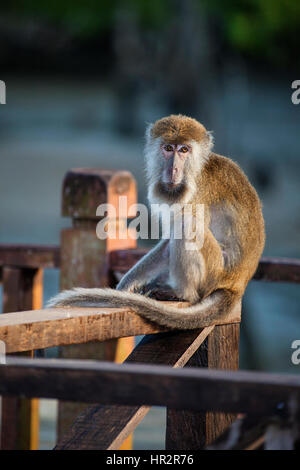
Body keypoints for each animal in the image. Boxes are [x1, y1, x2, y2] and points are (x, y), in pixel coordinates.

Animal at [47, 114, 264, 328]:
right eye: (168, 148)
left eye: (184, 150)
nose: (173, 169)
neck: (196, 170)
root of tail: (236, 285)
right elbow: (166, 244)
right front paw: (125, 285)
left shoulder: (195, 194)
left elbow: (179, 229)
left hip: (215, 271)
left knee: (187, 224)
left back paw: (184, 293)